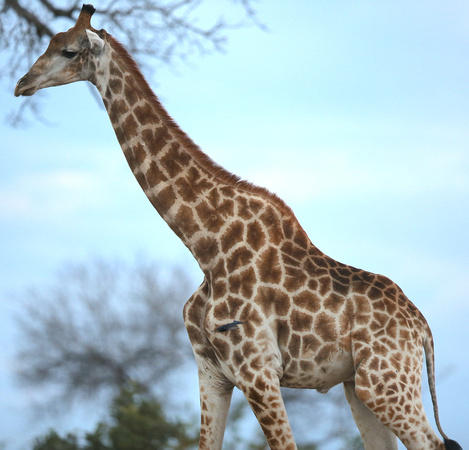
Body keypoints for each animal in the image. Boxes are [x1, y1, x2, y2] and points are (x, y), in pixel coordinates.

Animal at [14, 4, 460, 450]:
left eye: (70, 51)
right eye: (49, 43)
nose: (22, 83)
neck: (205, 245)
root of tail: (422, 327)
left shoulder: (258, 371)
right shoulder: (211, 373)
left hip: (385, 382)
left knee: (432, 441)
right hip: (358, 386)